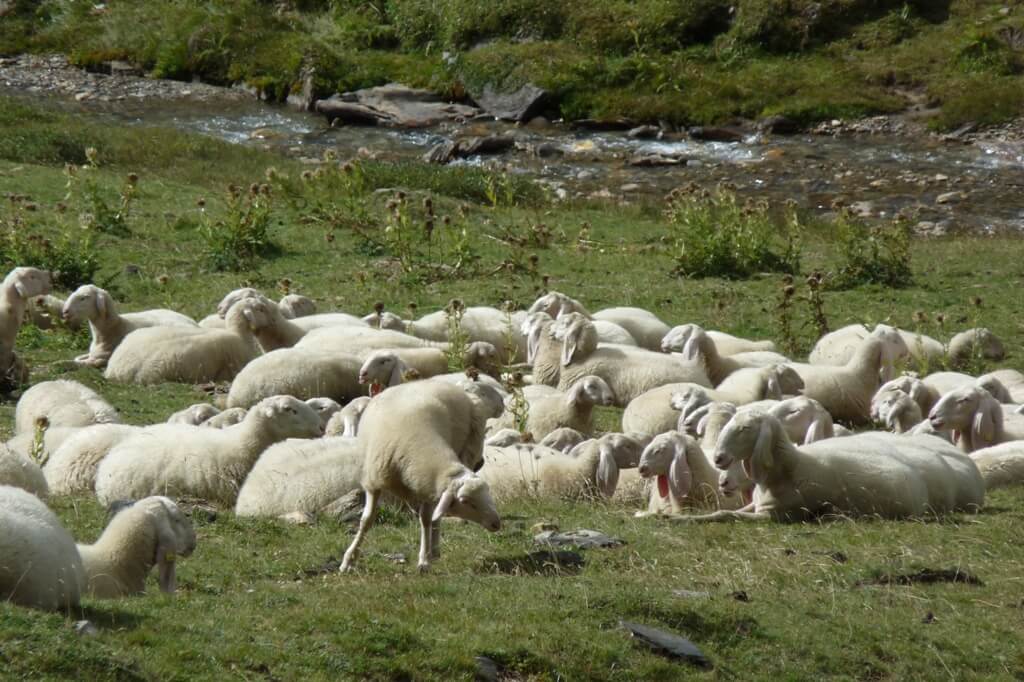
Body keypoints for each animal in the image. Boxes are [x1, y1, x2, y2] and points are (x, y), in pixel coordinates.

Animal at [339, 380, 504, 572]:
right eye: (465, 501)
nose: (496, 523)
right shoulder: (374, 482)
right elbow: (366, 521)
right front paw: (348, 560)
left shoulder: (428, 485)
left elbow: (426, 519)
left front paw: (424, 559)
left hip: (467, 449)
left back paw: (435, 549)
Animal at [673, 410, 984, 522]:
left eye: (745, 428)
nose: (718, 458)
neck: (790, 467)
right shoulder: (756, 505)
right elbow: (721, 511)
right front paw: (675, 518)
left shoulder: (774, 515)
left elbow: (727, 515)